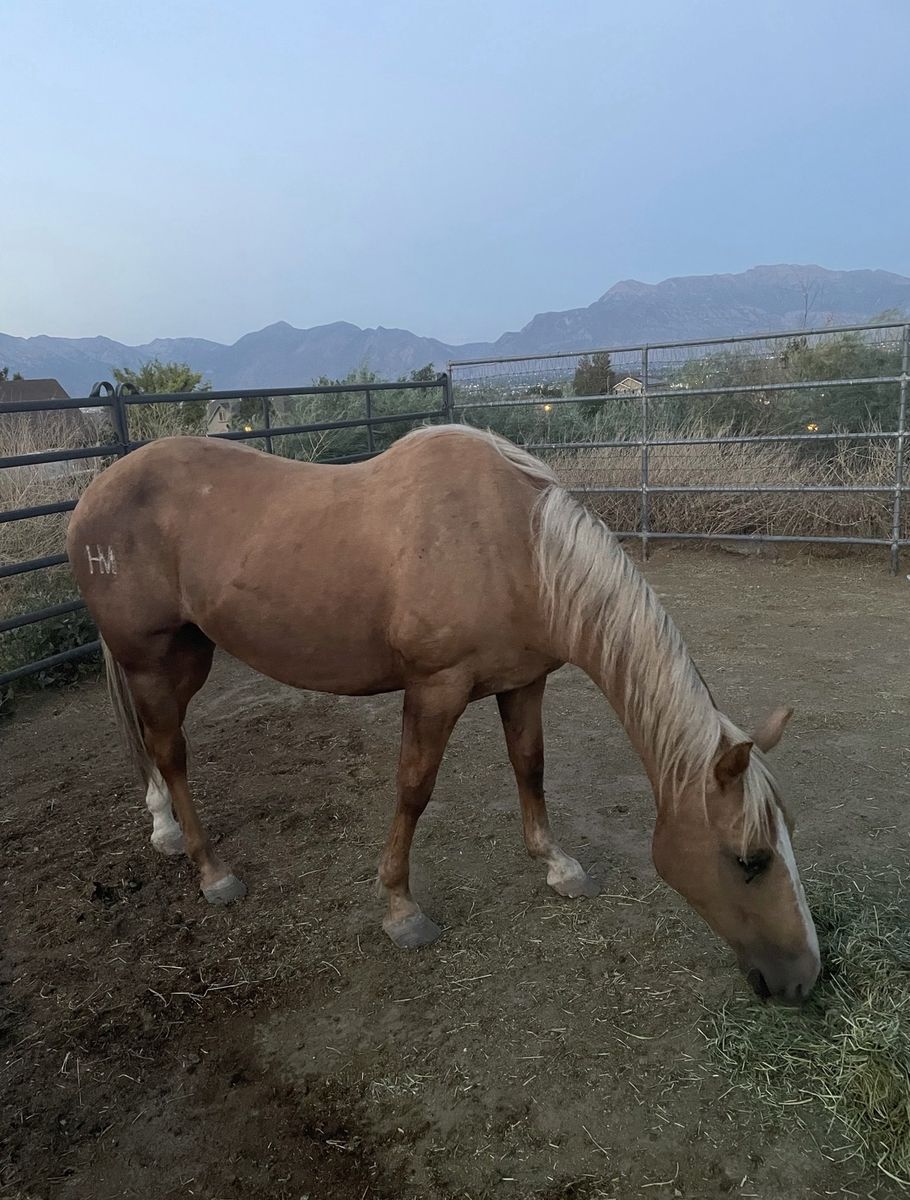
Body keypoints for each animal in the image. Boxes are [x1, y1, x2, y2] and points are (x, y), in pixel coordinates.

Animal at [66, 424, 821, 1003]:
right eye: (750, 860)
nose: (807, 978)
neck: (518, 549)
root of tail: (94, 493)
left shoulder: (524, 683)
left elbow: (530, 767)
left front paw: (558, 866)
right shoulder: (435, 689)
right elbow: (414, 789)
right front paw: (401, 909)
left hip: (182, 655)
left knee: (154, 748)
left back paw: (164, 830)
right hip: (156, 660)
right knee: (170, 751)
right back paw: (211, 871)